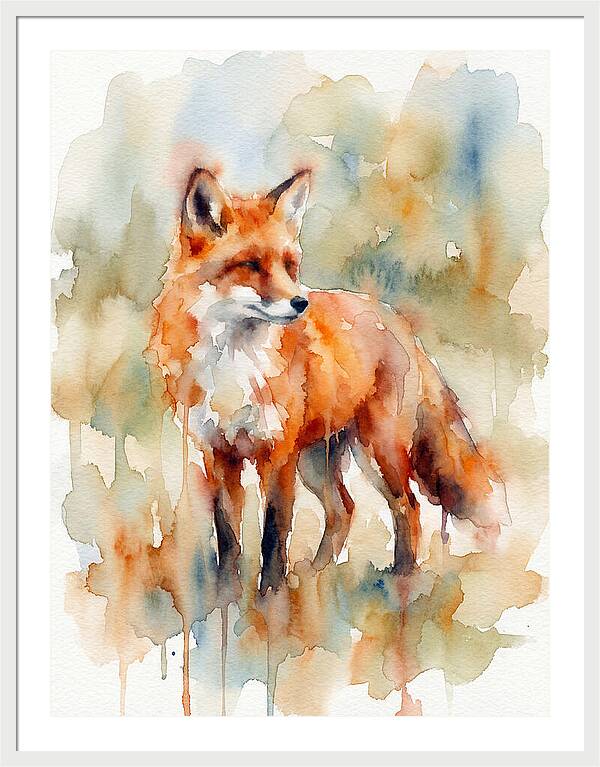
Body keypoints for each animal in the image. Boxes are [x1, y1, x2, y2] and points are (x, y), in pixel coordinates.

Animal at [147, 167, 510, 596]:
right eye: (250, 264)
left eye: (290, 266)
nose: (300, 303)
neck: (234, 364)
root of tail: (396, 320)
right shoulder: (219, 454)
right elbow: (228, 539)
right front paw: (226, 599)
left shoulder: (278, 454)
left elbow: (273, 534)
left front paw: (270, 600)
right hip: (318, 461)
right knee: (344, 509)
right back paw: (315, 574)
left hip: (378, 450)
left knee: (408, 506)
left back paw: (401, 580)